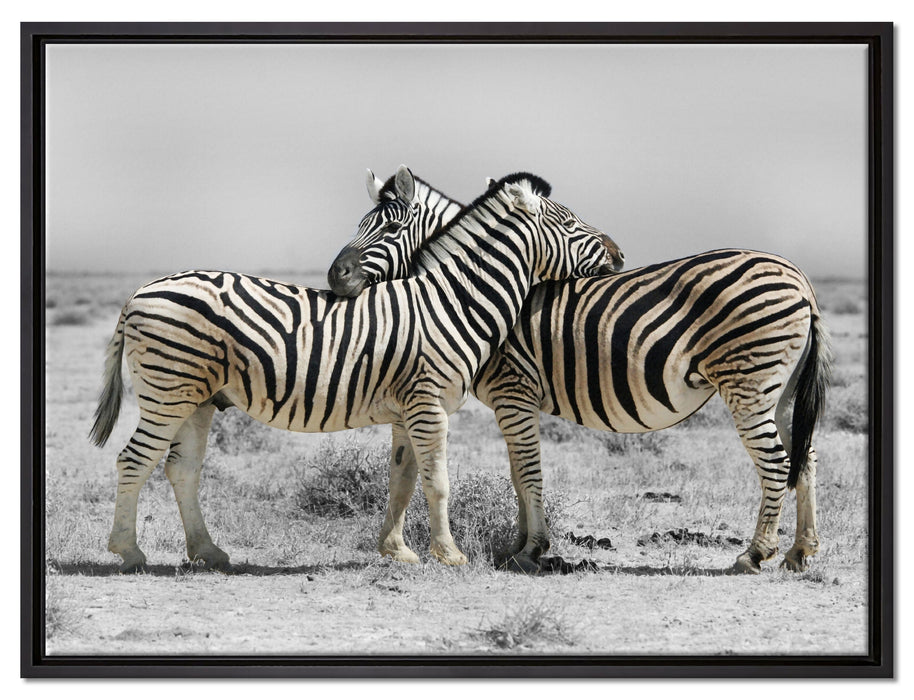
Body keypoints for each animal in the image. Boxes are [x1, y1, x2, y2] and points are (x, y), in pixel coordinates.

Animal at [89, 168, 620, 573]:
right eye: (570, 222)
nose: (618, 254)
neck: (452, 301)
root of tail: (139, 293)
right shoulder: (428, 404)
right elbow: (438, 481)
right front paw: (449, 554)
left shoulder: (408, 410)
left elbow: (402, 480)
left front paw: (398, 551)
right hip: (167, 390)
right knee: (133, 460)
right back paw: (129, 552)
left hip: (196, 398)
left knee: (181, 468)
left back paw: (208, 552)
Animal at [327, 172, 831, 575]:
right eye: (359, 225)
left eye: (390, 228)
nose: (336, 276)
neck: (468, 291)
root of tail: (801, 279)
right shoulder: (514, 401)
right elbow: (517, 473)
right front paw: (518, 545)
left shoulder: (514, 390)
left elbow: (528, 471)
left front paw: (531, 549)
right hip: (779, 390)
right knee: (804, 457)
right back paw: (800, 552)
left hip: (748, 383)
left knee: (777, 462)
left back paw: (755, 553)